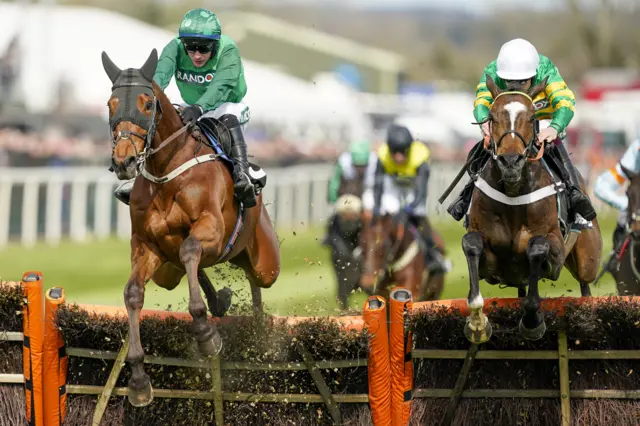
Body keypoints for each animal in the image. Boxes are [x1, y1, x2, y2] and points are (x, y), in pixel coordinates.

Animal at [100, 50, 280, 406]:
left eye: (147, 104)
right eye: (111, 104)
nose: (124, 161)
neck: (166, 171)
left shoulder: (211, 227)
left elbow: (191, 248)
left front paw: (206, 333)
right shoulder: (147, 245)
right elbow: (133, 293)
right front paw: (138, 379)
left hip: (266, 262)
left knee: (255, 281)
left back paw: (257, 327)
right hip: (168, 273)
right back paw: (222, 302)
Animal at [462, 75, 604, 344]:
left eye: (531, 117)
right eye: (492, 117)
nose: (510, 161)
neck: (513, 191)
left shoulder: (555, 254)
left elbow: (537, 247)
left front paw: (531, 323)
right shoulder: (491, 263)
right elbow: (471, 243)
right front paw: (477, 322)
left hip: (588, 260)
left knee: (586, 285)